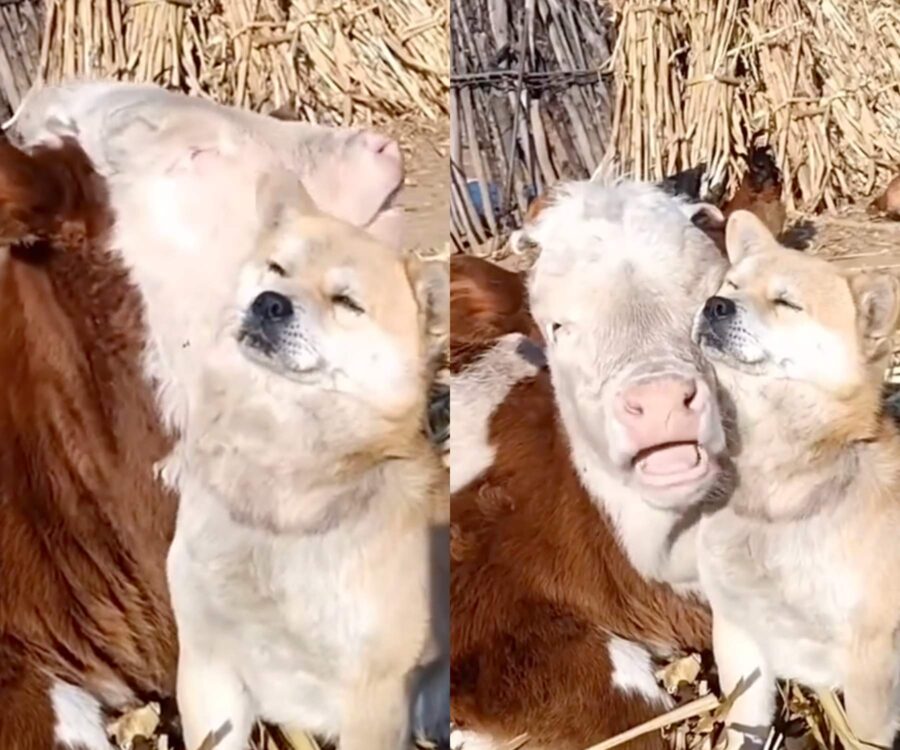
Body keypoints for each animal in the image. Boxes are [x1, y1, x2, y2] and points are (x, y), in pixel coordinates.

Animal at [692, 210, 900, 750]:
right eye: (732, 285)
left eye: (786, 303)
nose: (715, 306)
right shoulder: (740, 636)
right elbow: (745, 726)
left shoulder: (869, 669)